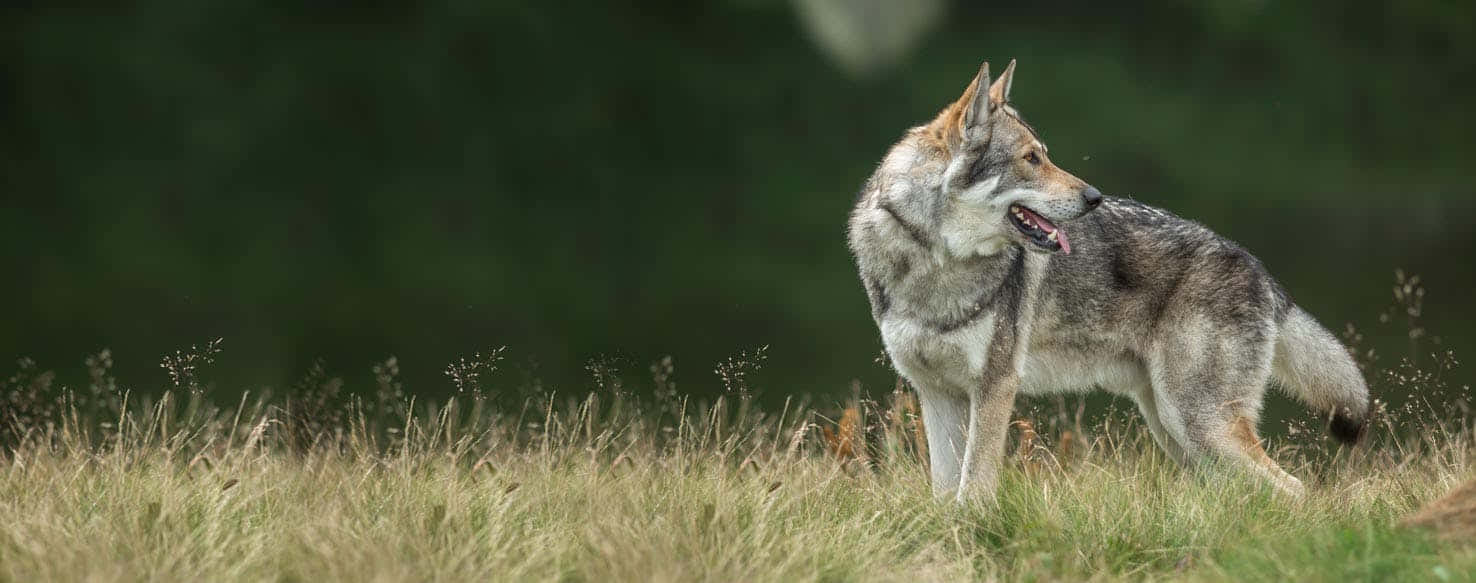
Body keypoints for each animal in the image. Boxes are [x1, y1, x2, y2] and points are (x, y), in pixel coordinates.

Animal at [856, 60, 1369, 501]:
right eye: (1031, 158)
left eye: (1044, 156)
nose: (1094, 197)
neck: (934, 260)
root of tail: (1261, 271)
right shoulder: (936, 394)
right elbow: (945, 493)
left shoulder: (995, 389)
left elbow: (973, 488)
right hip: (1178, 433)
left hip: (1198, 425)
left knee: (1294, 489)